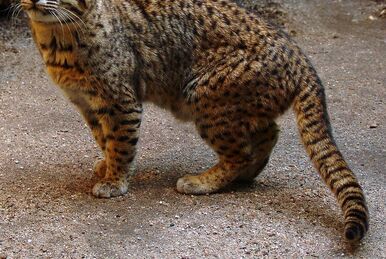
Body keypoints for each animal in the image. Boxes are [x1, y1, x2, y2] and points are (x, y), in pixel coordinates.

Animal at [19, 0, 370, 243]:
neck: (57, 39)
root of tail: (299, 56)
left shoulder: (122, 101)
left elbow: (120, 144)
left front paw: (115, 181)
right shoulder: (89, 105)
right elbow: (104, 139)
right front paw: (106, 166)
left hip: (202, 95)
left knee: (240, 151)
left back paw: (203, 181)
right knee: (268, 132)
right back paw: (248, 173)